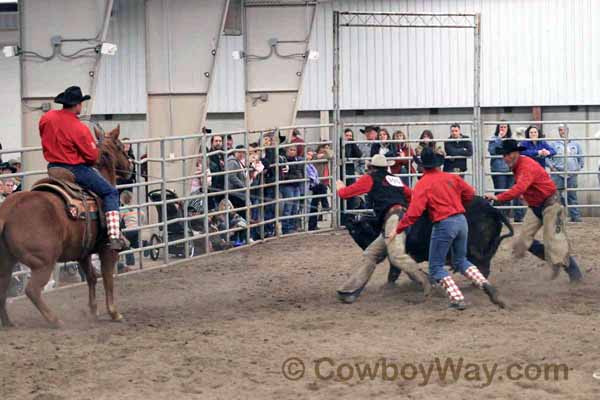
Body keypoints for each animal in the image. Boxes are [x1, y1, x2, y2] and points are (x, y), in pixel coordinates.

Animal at [0, 125, 131, 328]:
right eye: (120, 147)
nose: (130, 167)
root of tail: (8, 210)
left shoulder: (83, 252)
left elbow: (91, 277)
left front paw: (93, 311)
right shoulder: (107, 250)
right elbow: (107, 278)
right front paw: (114, 312)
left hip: (7, 260)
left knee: (3, 287)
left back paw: (7, 322)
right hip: (43, 262)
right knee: (32, 290)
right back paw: (55, 320)